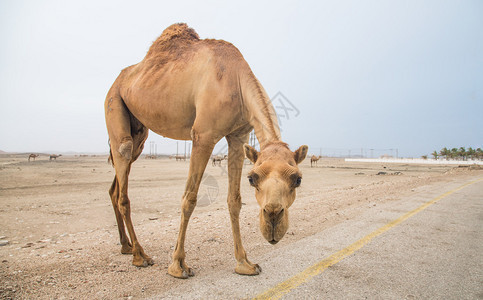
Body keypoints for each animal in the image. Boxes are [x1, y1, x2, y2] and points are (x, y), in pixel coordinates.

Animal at [105, 23, 310, 278]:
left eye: (298, 179)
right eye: (253, 178)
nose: (272, 218)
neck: (236, 80)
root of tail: (118, 81)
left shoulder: (238, 136)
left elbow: (234, 200)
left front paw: (245, 263)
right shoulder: (203, 135)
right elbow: (189, 198)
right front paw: (178, 265)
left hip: (139, 133)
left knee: (116, 185)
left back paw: (125, 246)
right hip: (115, 103)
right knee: (123, 173)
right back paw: (140, 255)